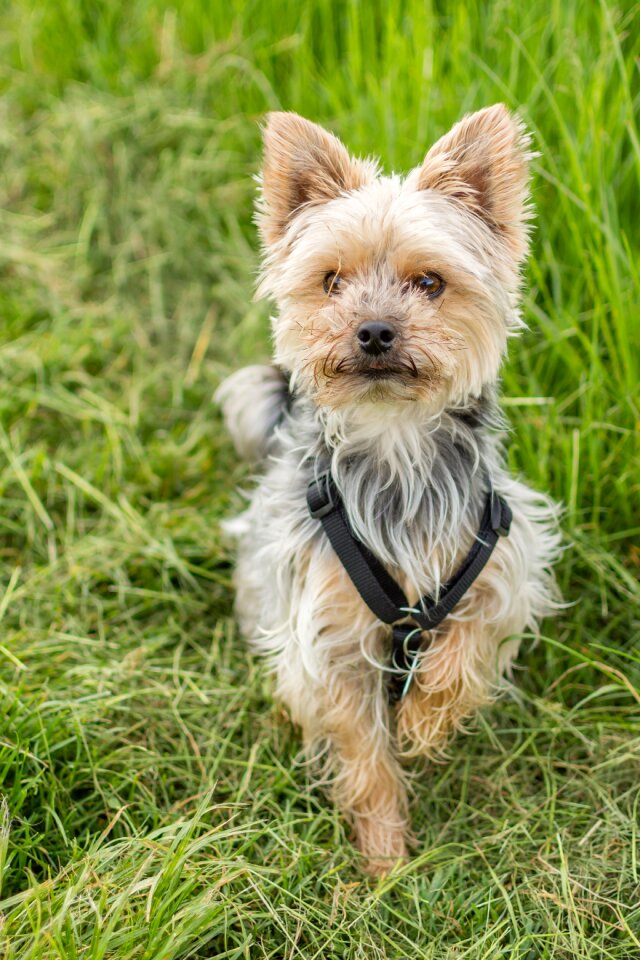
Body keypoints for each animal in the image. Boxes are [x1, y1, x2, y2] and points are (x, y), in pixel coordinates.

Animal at [218, 107, 556, 876]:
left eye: (430, 283)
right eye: (332, 281)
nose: (373, 330)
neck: (396, 443)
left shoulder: (505, 562)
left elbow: (466, 647)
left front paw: (427, 721)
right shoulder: (329, 635)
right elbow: (364, 752)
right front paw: (384, 860)